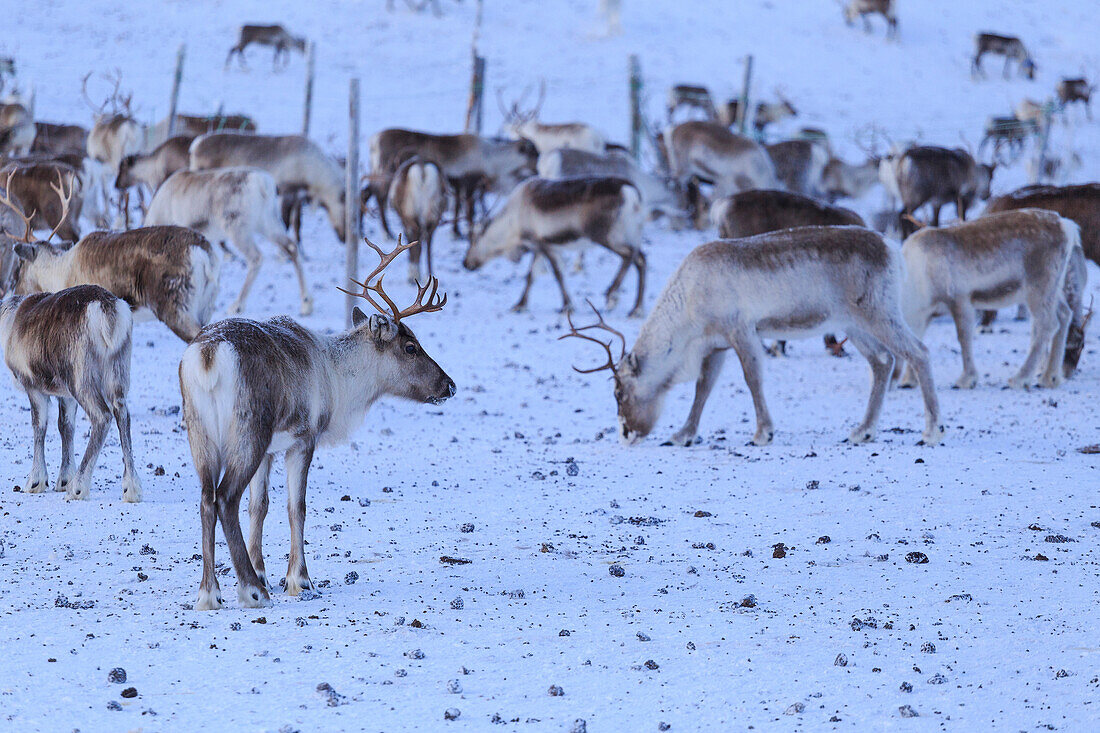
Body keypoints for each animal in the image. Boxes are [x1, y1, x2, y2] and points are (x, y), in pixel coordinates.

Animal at [0, 281, 141, 499]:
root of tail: (108, 310)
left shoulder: (33, 386)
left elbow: (39, 426)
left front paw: (36, 482)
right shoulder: (65, 396)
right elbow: (65, 427)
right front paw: (64, 479)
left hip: (80, 377)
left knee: (102, 416)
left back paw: (78, 487)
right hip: (117, 371)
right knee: (123, 416)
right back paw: (131, 489)